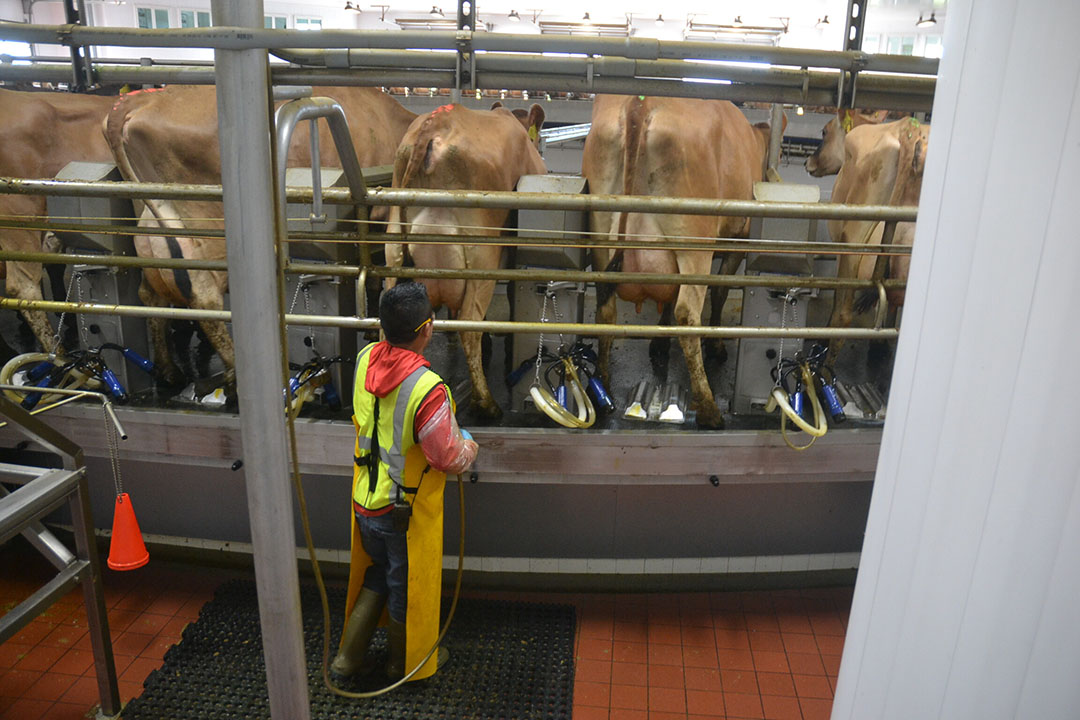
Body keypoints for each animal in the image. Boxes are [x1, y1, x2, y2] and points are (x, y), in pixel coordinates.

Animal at [105, 87, 416, 390]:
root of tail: (136, 102)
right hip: (200, 233)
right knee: (203, 299)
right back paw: (235, 371)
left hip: (152, 233)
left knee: (150, 293)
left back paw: (168, 370)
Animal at [583, 94, 777, 427]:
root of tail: (640, 102)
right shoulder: (739, 240)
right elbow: (720, 292)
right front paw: (716, 345)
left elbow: (668, 296)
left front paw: (660, 342)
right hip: (694, 240)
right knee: (687, 312)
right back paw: (709, 408)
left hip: (599, 234)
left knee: (606, 309)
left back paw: (603, 382)